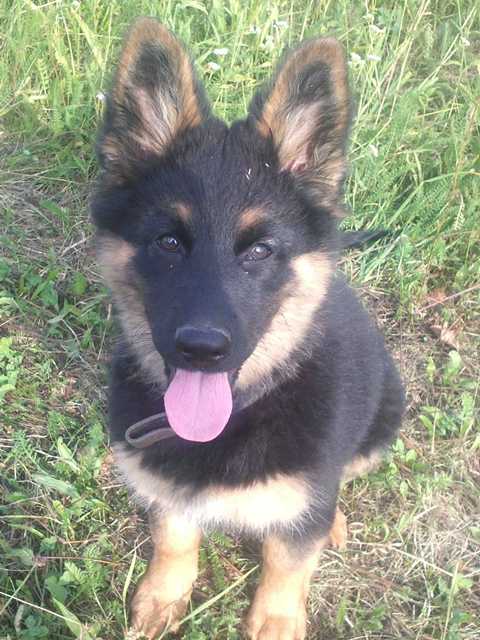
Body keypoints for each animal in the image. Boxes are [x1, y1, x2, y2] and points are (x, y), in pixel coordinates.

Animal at [91, 17, 404, 640]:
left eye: (260, 250)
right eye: (168, 242)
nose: (202, 349)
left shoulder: (301, 503)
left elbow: (288, 557)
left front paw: (276, 619)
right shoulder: (166, 487)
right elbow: (174, 537)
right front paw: (164, 595)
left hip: (384, 419)